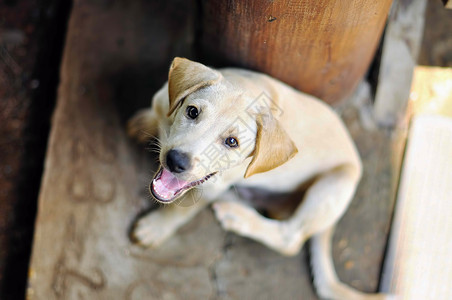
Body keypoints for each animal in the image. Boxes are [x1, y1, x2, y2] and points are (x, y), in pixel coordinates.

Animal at [128, 57, 392, 298]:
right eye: (192, 111)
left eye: (232, 142)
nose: (176, 161)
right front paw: (146, 121)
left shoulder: (212, 185)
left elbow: (180, 210)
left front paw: (156, 228)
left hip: (334, 185)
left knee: (290, 238)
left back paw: (238, 217)